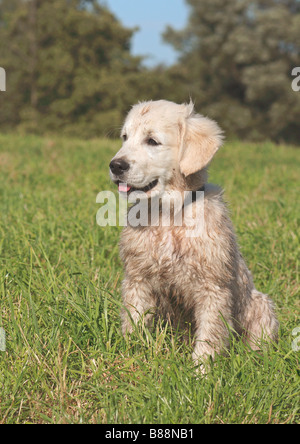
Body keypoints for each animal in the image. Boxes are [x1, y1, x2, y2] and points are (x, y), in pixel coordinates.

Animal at [109, 100, 278, 368]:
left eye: (152, 141)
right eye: (125, 137)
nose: (115, 165)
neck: (168, 213)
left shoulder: (213, 287)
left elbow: (210, 333)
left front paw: (201, 369)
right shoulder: (137, 278)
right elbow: (134, 319)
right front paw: (131, 354)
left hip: (263, 306)